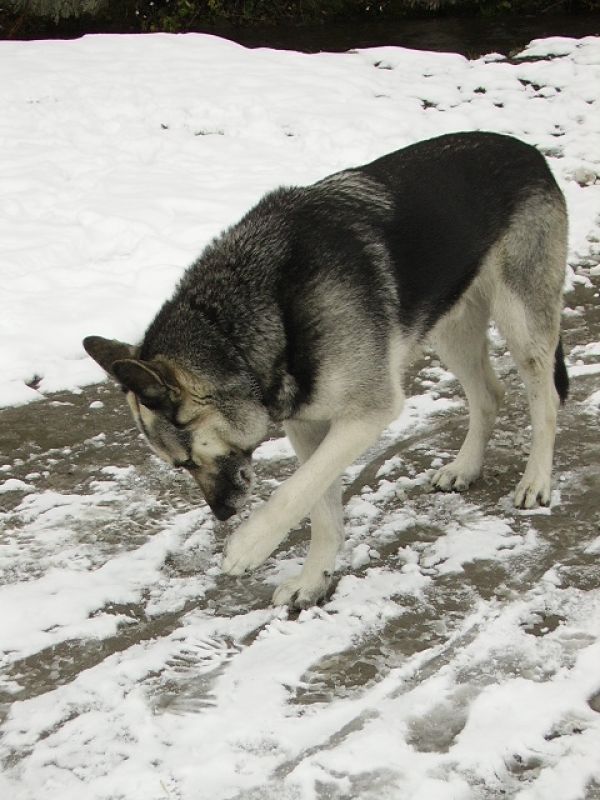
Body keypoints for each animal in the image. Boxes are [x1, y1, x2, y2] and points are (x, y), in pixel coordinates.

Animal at [83, 131, 568, 608]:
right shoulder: (307, 424)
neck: (237, 328)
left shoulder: (369, 413)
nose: (222, 514)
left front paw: (250, 544)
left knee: (544, 400)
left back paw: (536, 480)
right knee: (489, 395)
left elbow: (294, 490)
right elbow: (320, 506)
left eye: (184, 461)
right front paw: (314, 580)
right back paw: (466, 466)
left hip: (522, 324)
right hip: (450, 328)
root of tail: (528, 151)